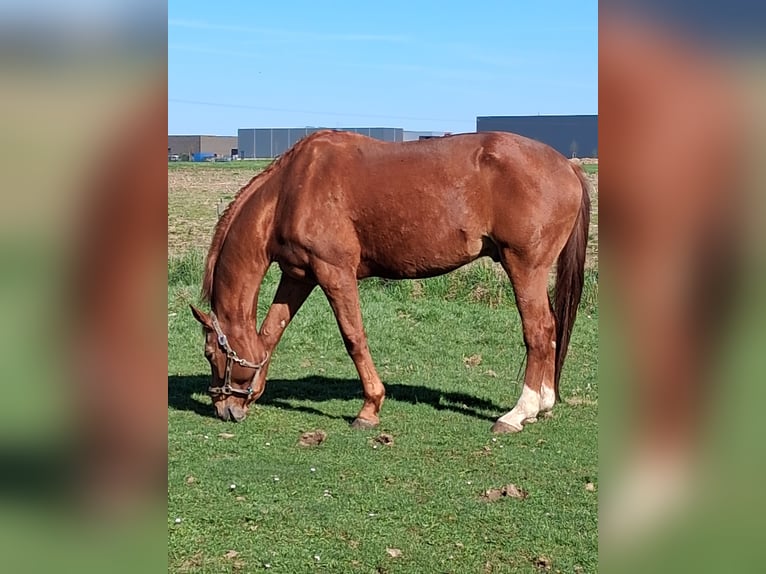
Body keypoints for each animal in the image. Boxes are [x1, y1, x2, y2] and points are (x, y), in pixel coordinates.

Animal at [190, 129, 591, 433]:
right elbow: (270, 334)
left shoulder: (334, 272)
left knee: (538, 330)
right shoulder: (298, 276)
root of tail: (567, 165)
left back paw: (518, 413)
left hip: (524, 266)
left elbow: (354, 337)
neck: (290, 191)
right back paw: (543, 405)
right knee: (551, 328)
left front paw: (369, 408)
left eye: (209, 353)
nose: (224, 409)